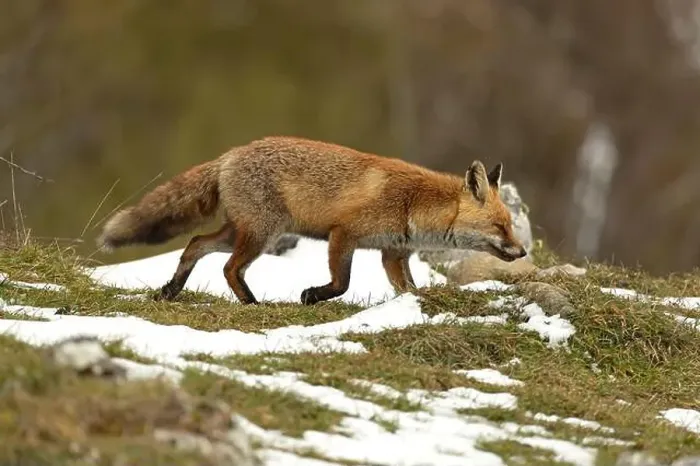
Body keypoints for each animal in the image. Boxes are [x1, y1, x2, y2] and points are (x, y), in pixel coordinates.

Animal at [96, 136, 527, 305]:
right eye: (500, 227)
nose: (523, 252)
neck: (413, 204)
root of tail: (230, 154)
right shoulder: (344, 234)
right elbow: (342, 283)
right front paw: (311, 296)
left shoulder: (393, 253)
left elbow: (409, 289)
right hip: (261, 234)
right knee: (229, 268)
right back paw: (252, 303)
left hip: (242, 231)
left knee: (195, 245)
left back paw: (171, 289)